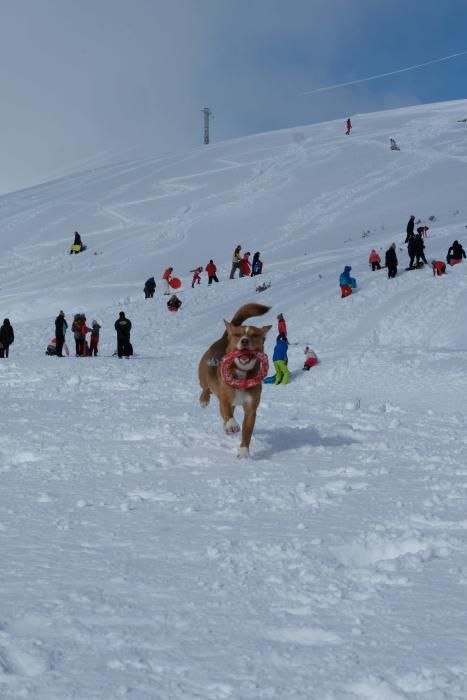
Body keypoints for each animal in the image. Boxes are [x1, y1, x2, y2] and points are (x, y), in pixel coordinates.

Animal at [199, 302, 272, 460]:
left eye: (254, 335)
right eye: (238, 335)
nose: (244, 340)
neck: (242, 373)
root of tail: (224, 337)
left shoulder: (251, 409)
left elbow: (247, 433)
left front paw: (244, 452)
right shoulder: (225, 400)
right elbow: (227, 414)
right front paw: (232, 426)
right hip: (203, 375)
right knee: (205, 388)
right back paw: (204, 400)